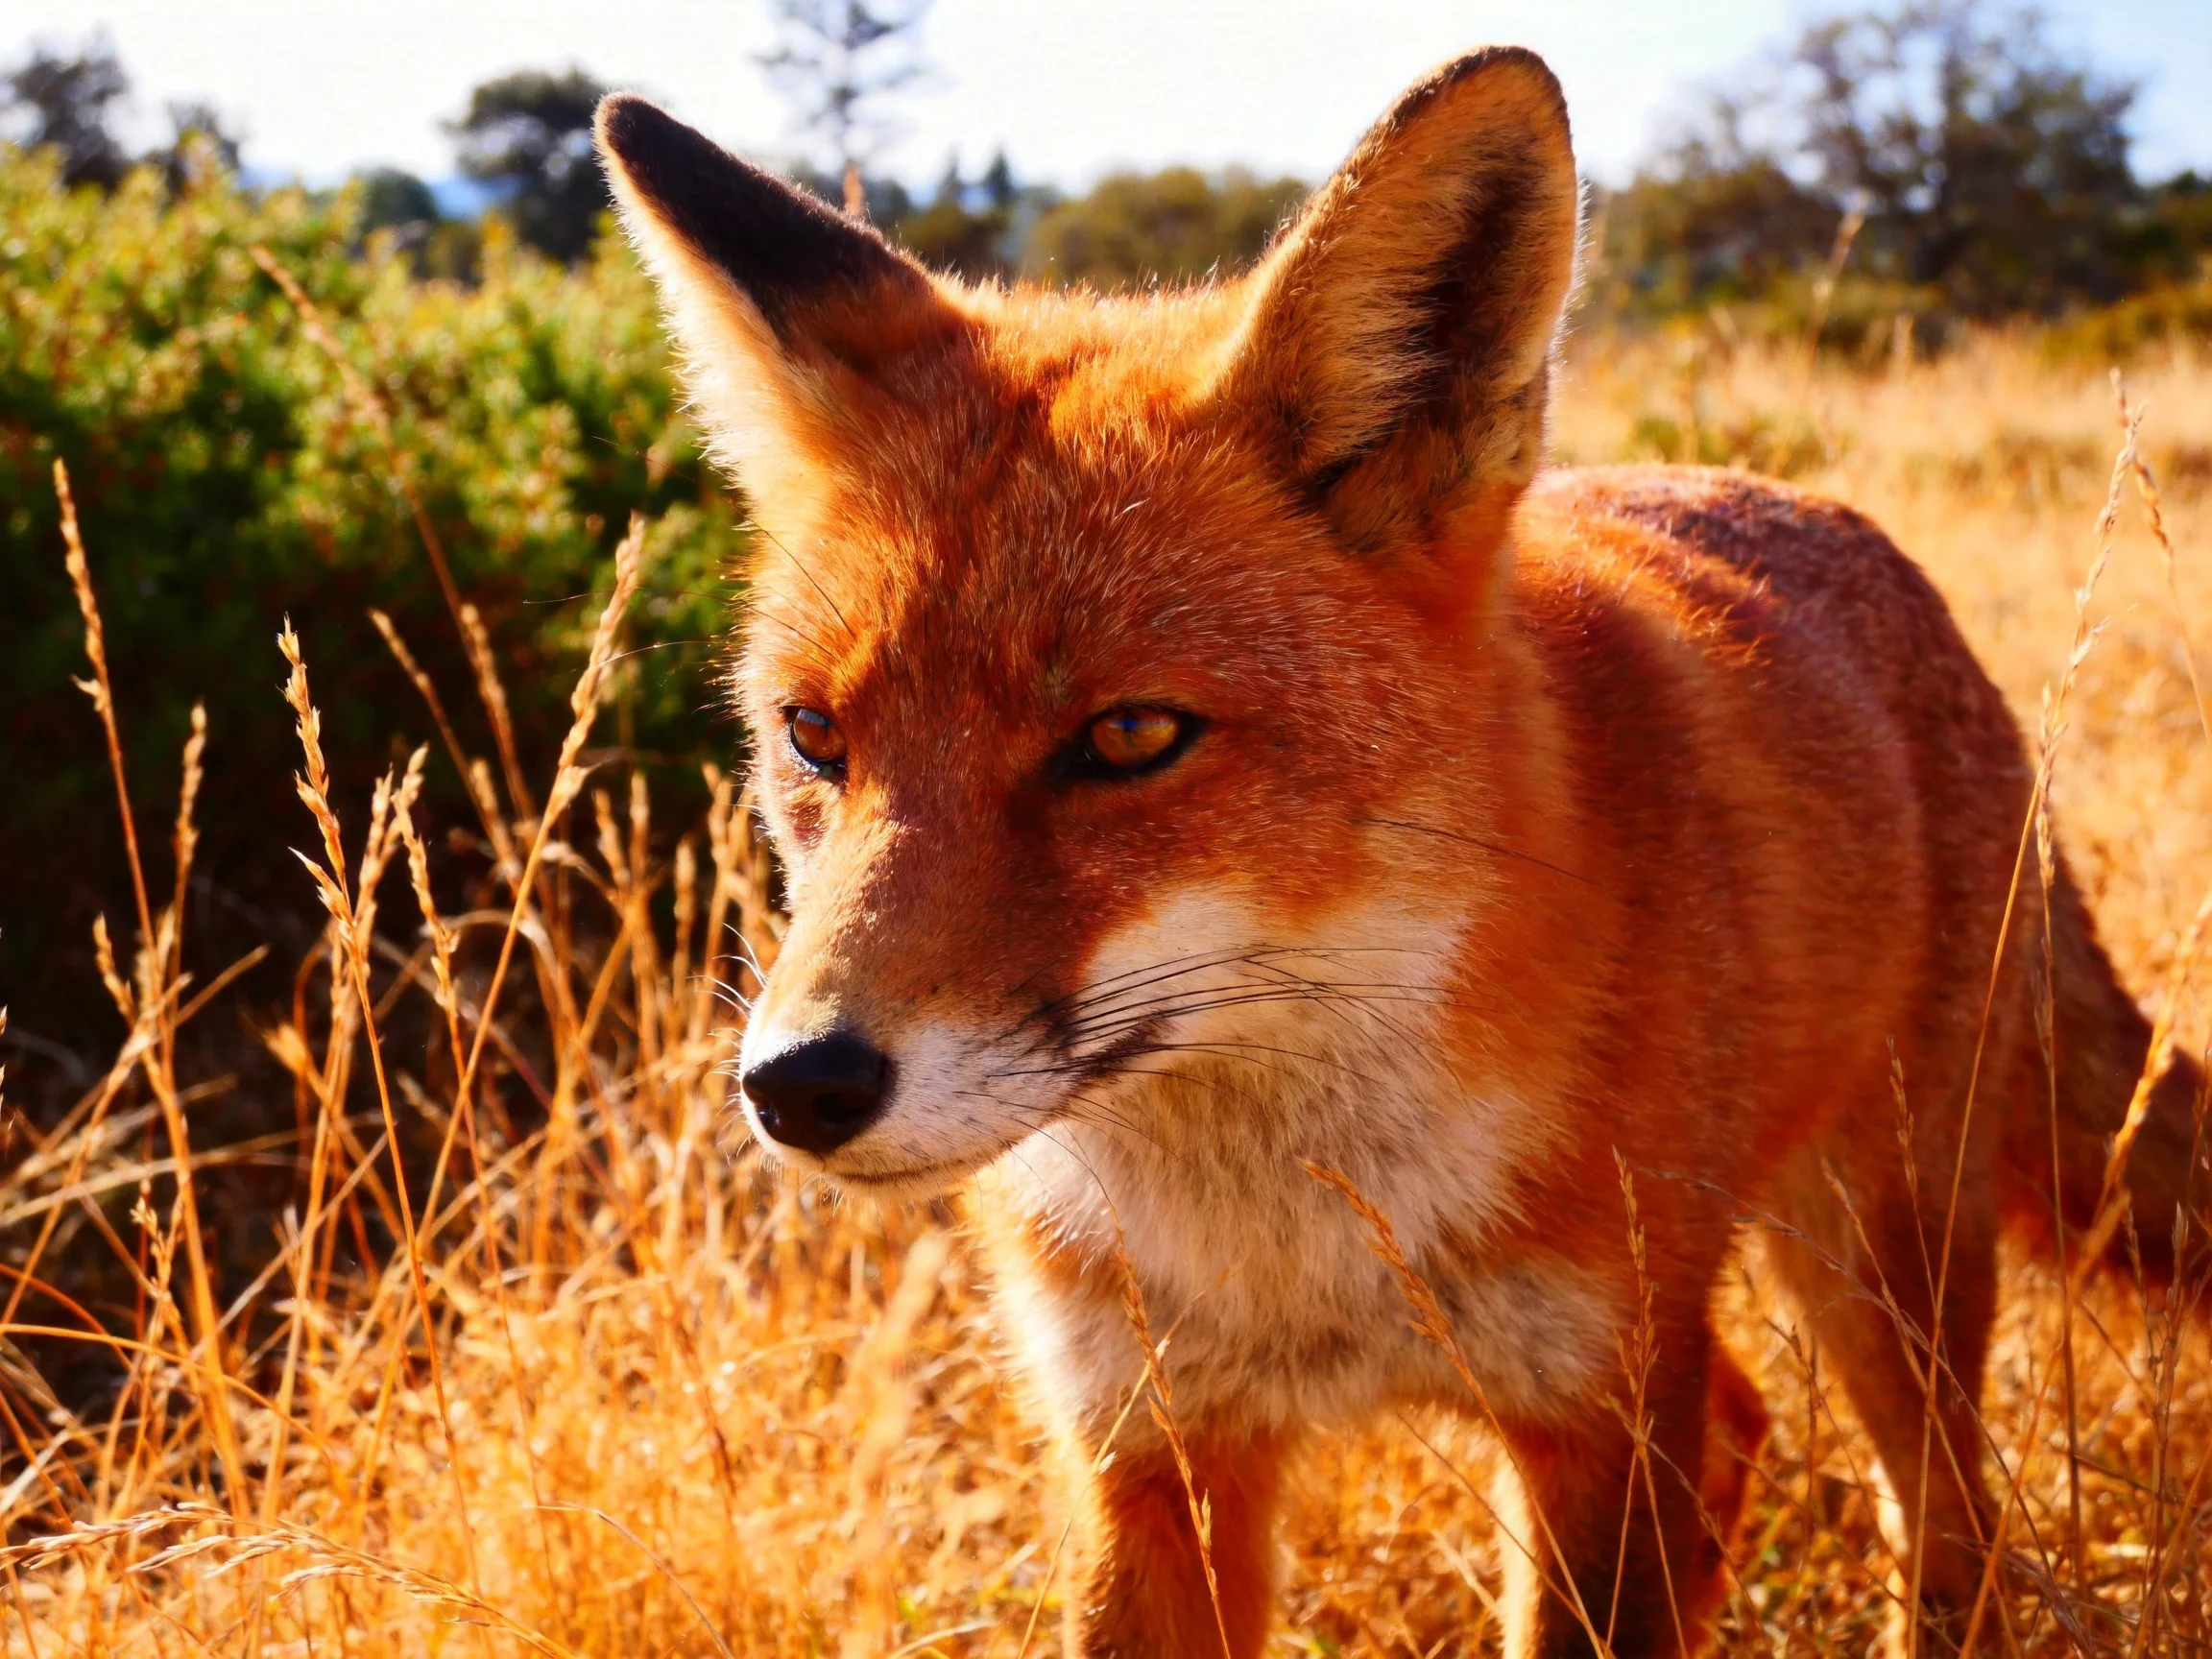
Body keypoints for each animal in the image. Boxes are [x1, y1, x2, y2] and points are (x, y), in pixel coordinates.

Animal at [593, 46, 2208, 1658]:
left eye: (1128, 736)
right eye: (814, 738)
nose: (800, 1085)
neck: (1302, 1253)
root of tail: (1831, 521)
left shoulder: (1599, 1415)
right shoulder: (1144, 1441)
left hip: (1880, 1276)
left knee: (1948, 1529)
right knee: (1755, 1427)